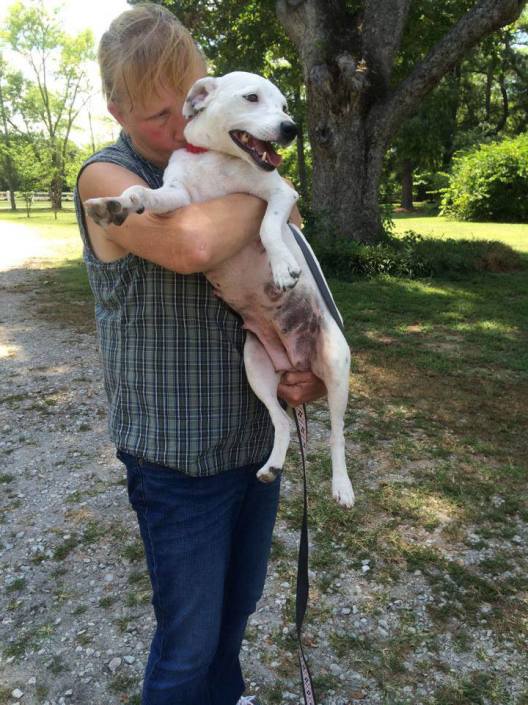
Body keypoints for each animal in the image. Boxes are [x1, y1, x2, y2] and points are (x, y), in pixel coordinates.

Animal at [84, 73, 354, 506]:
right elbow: (144, 196)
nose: (292, 129)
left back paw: (342, 486)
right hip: (255, 367)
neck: (216, 159)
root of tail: (296, 358)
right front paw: (119, 204)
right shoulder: (177, 198)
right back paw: (271, 466)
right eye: (252, 97)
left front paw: (282, 265)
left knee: (338, 435)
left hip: (335, 364)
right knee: (282, 422)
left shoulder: (281, 193)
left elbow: (268, 225)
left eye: (284, 105)